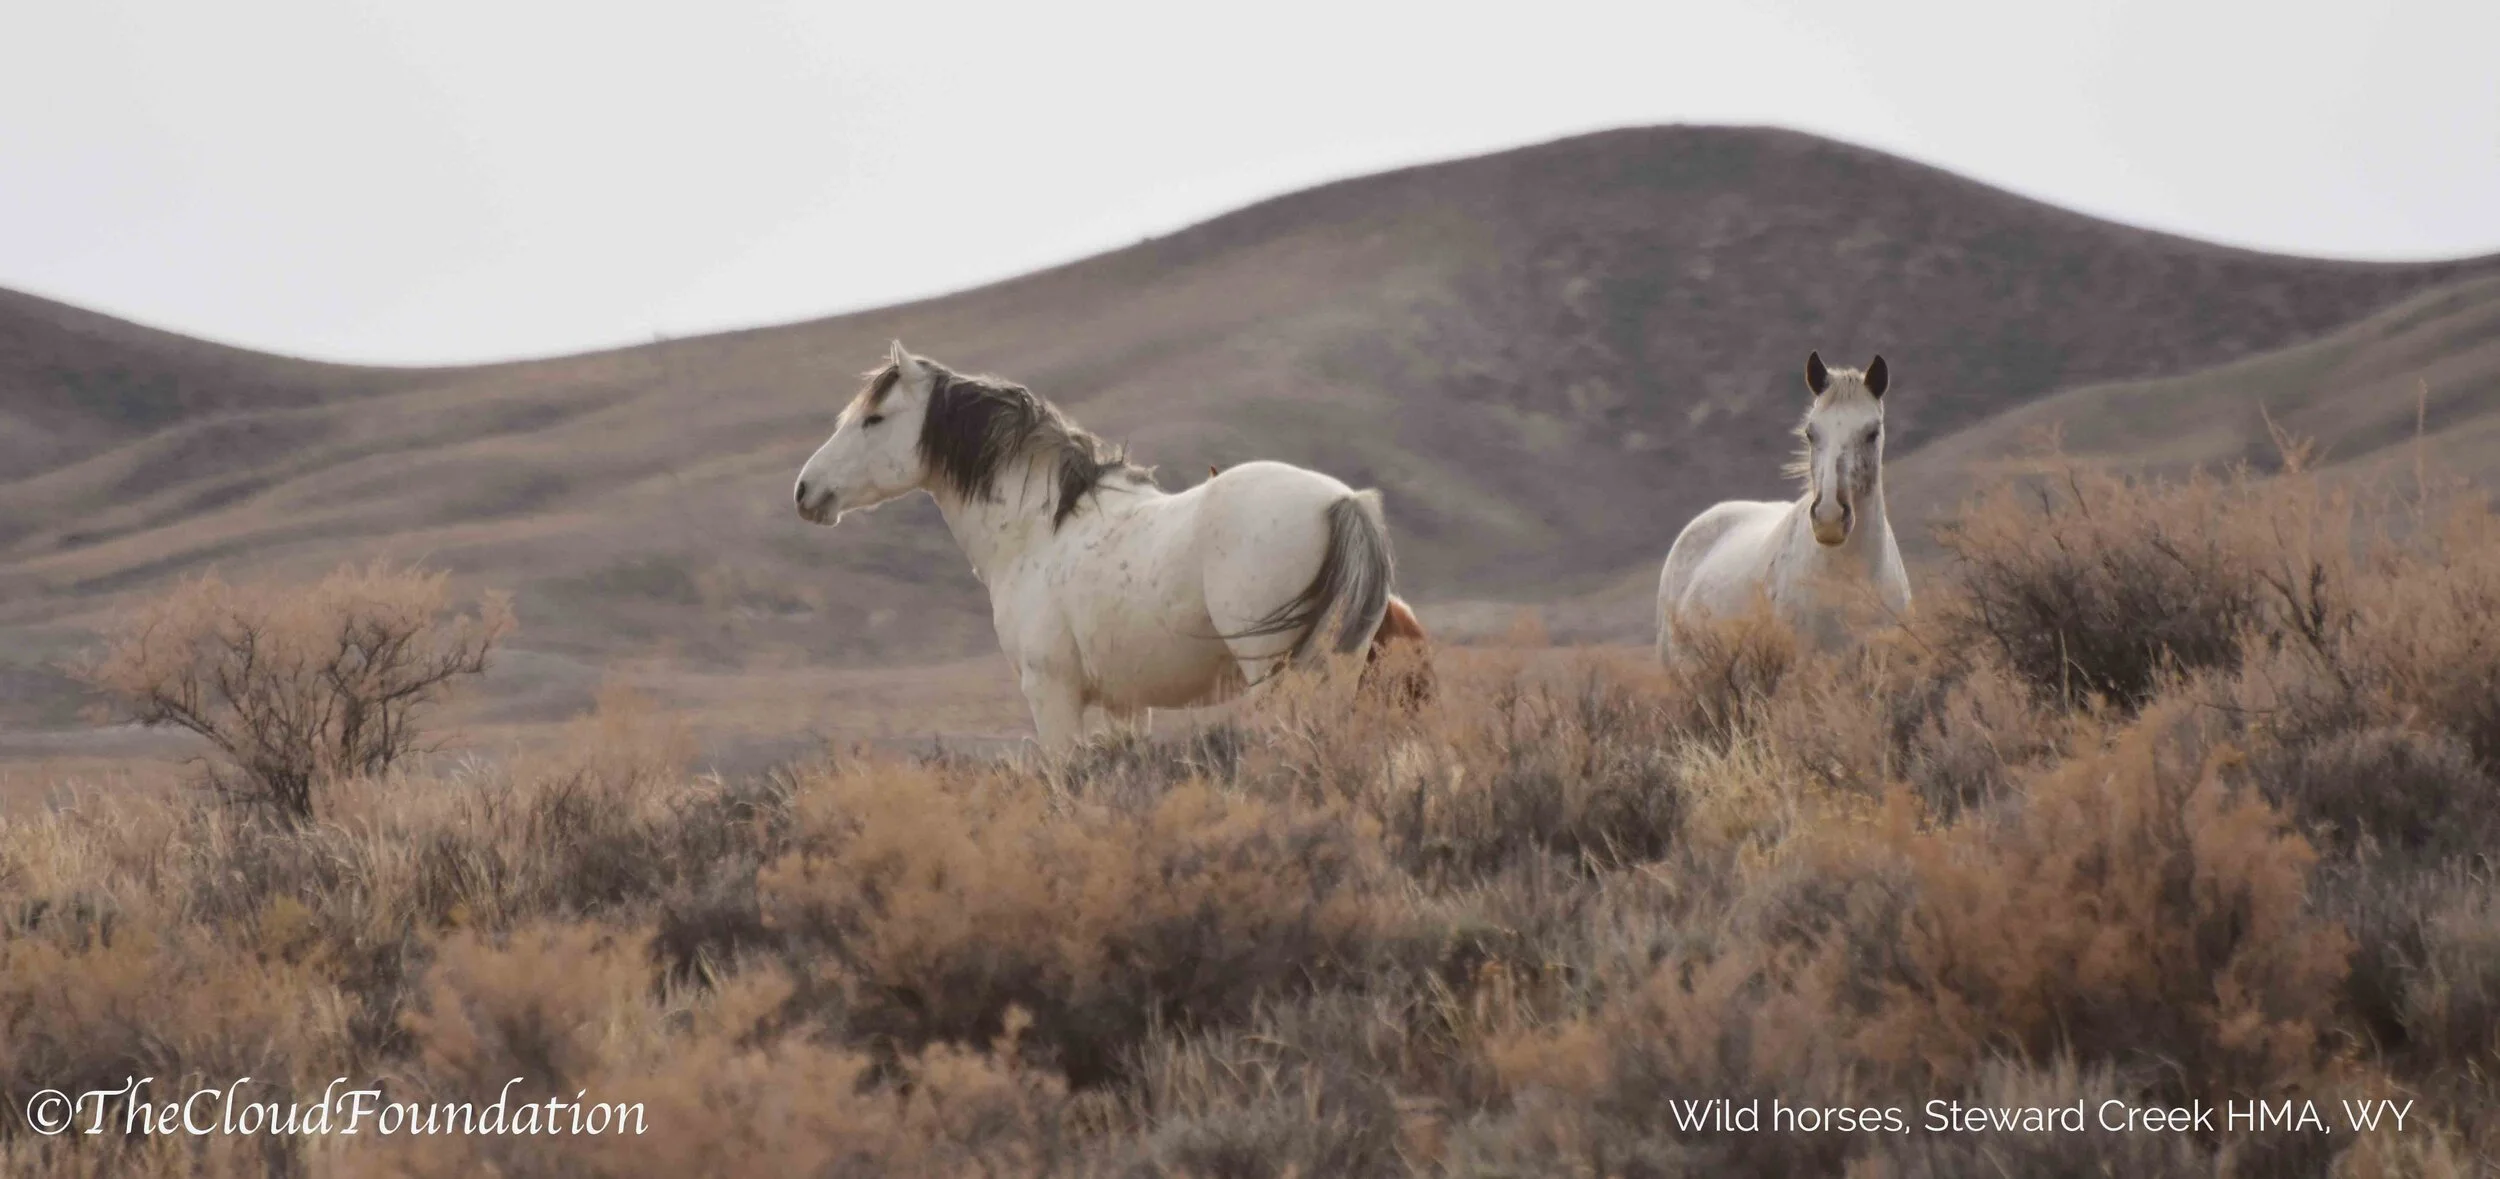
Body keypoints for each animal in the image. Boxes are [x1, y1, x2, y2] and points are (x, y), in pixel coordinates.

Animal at [794, 342, 1399, 749]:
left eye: (874, 418)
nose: (805, 491)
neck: (1041, 531)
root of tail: (1343, 502)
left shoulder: (1051, 696)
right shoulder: (1124, 704)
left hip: (1277, 677)